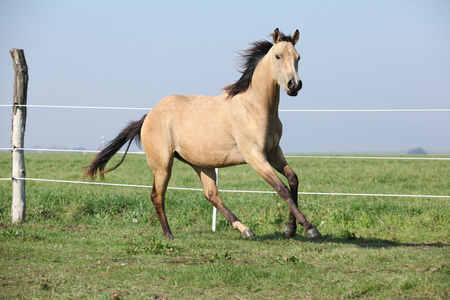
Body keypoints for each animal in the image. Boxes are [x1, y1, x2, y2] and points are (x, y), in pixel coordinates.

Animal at [85, 28, 324, 239]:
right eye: (277, 56)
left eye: (298, 57)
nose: (294, 85)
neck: (255, 107)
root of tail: (149, 115)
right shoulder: (255, 156)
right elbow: (281, 188)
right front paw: (309, 228)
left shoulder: (274, 152)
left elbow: (293, 180)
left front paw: (291, 228)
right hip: (162, 164)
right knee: (157, 196)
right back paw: (169, 234)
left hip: (201, 164)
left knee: (211, 195)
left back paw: (245, 230)